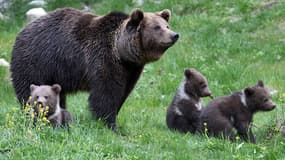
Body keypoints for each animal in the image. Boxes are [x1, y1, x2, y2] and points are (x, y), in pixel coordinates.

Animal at [10, 7, 178, 131]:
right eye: (157, 27)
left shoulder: (131, 70)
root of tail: (21, 31)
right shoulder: (103, 59)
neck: (122, 53)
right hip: (37, 61)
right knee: (29, 88)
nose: (174, 35)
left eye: (167, 25)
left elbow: (123, 93)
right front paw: (110, 124)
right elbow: (105, 94)